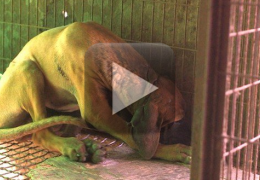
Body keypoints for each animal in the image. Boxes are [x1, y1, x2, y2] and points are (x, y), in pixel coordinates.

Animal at [0, 21, 191, 164]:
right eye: (173, 122)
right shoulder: (97, 112)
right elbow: (128, 132)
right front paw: (171, 151)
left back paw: (87, 147)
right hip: (28, 69)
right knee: (41, 135)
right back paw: (72, 146)